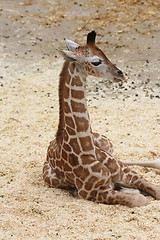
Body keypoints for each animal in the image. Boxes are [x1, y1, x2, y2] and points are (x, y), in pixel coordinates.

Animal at [42, 31, 160, 207]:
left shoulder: (128, 174)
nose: (121, 74)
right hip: (50, 178)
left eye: (104, 52)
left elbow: (153, 188)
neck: (86, 149)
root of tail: (50, 144)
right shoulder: (92, 192)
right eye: (96, 61)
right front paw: (133, 192)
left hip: (108, 144)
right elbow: (140, 199)